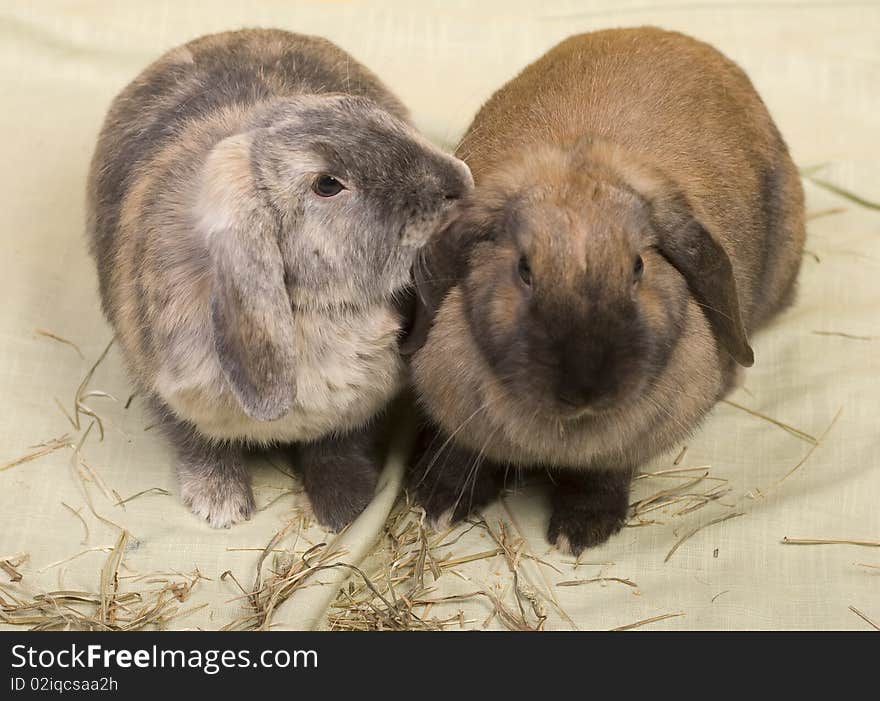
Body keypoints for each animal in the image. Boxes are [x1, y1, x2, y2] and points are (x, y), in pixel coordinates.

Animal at [87, 30, 474, 528]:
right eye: (327, 184)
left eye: (370, 114)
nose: (459, 181)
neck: (317, 310)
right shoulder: (169, 390)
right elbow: (196, 441)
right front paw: (221, 503)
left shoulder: (355, 410)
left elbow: (337, 446)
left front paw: (346, 506)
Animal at [406, 26, 804, 552]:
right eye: (524, 269)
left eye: (638, 266)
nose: (585, 390)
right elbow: (461, 453)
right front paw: (438, 500)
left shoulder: (619, 451)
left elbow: (602, 477)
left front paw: (580, 531)